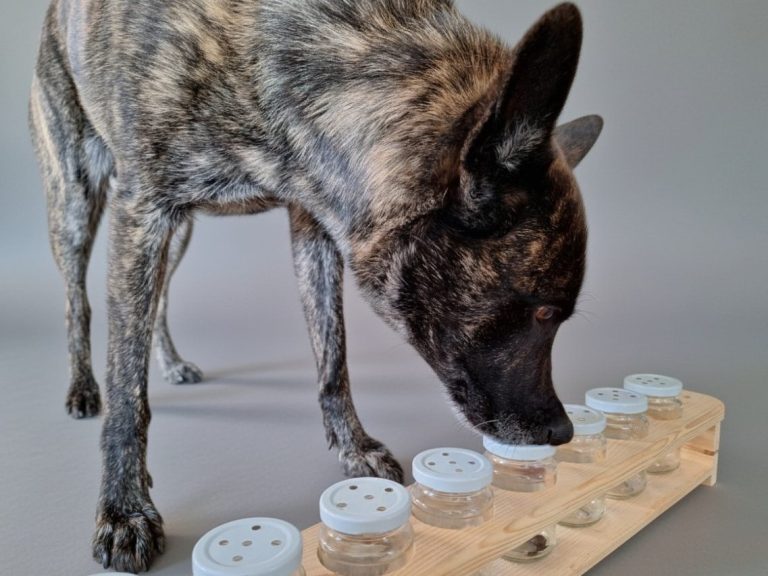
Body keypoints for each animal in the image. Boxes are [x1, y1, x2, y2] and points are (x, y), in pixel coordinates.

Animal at [29, 0, 602, 571]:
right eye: (544, 313)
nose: (563, 433)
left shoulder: (312, 225)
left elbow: (333, 359)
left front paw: (354, 447)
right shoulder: (142, 211)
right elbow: (127, 387)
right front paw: (124, 508)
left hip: (181, 232)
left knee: (163, 296)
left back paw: (171, 363)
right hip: (77, 203)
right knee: (78, 303)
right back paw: (83, 388)